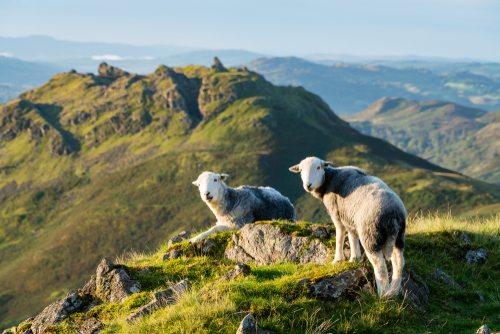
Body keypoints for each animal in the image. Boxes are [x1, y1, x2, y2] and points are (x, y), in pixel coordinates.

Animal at [290, 158, 406, 296]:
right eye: (301, 170)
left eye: (318, 167)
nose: (308, 185)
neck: (329, 180)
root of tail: (392, 214)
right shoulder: (349, 217)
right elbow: (352, 236)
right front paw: (354, 258)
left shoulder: (336, 213)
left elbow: (340, 235)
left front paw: (338, 259)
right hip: (399, 235)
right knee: (399, 261)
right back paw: (393, 291)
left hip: (370, 234)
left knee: (379, 265)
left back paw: (382, 294)